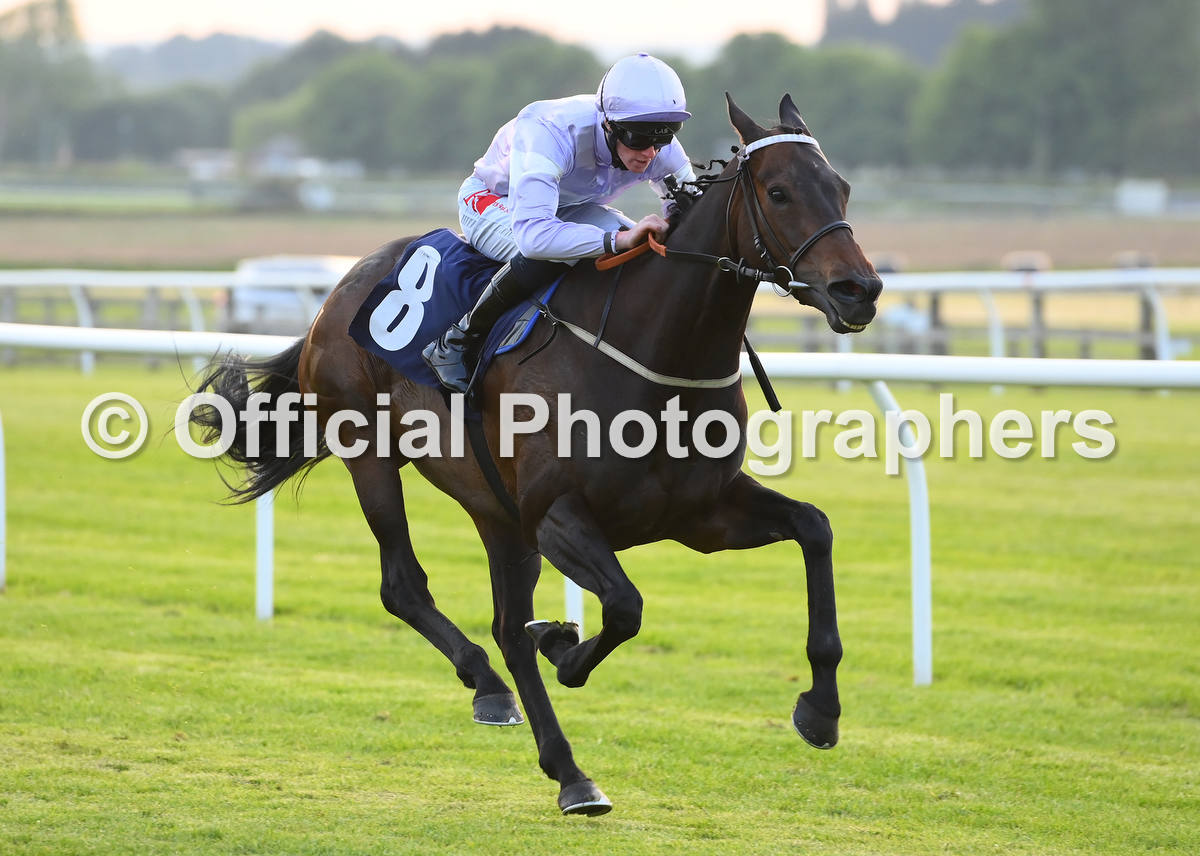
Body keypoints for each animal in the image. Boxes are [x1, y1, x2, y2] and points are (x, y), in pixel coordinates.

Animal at [189, 93, 883, 816]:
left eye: (842, 187)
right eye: (778, 193)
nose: (859, 289)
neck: (656, 355)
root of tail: (341, 287)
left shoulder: (700, 515)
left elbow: (815, 529)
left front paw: (821, 710)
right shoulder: (556, 516)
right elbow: (624, 608)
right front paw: (563, 643)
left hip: (496, 511)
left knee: (504, 627)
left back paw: (566, 768)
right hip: (373, 456)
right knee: (405, 586)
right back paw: (492, 687)